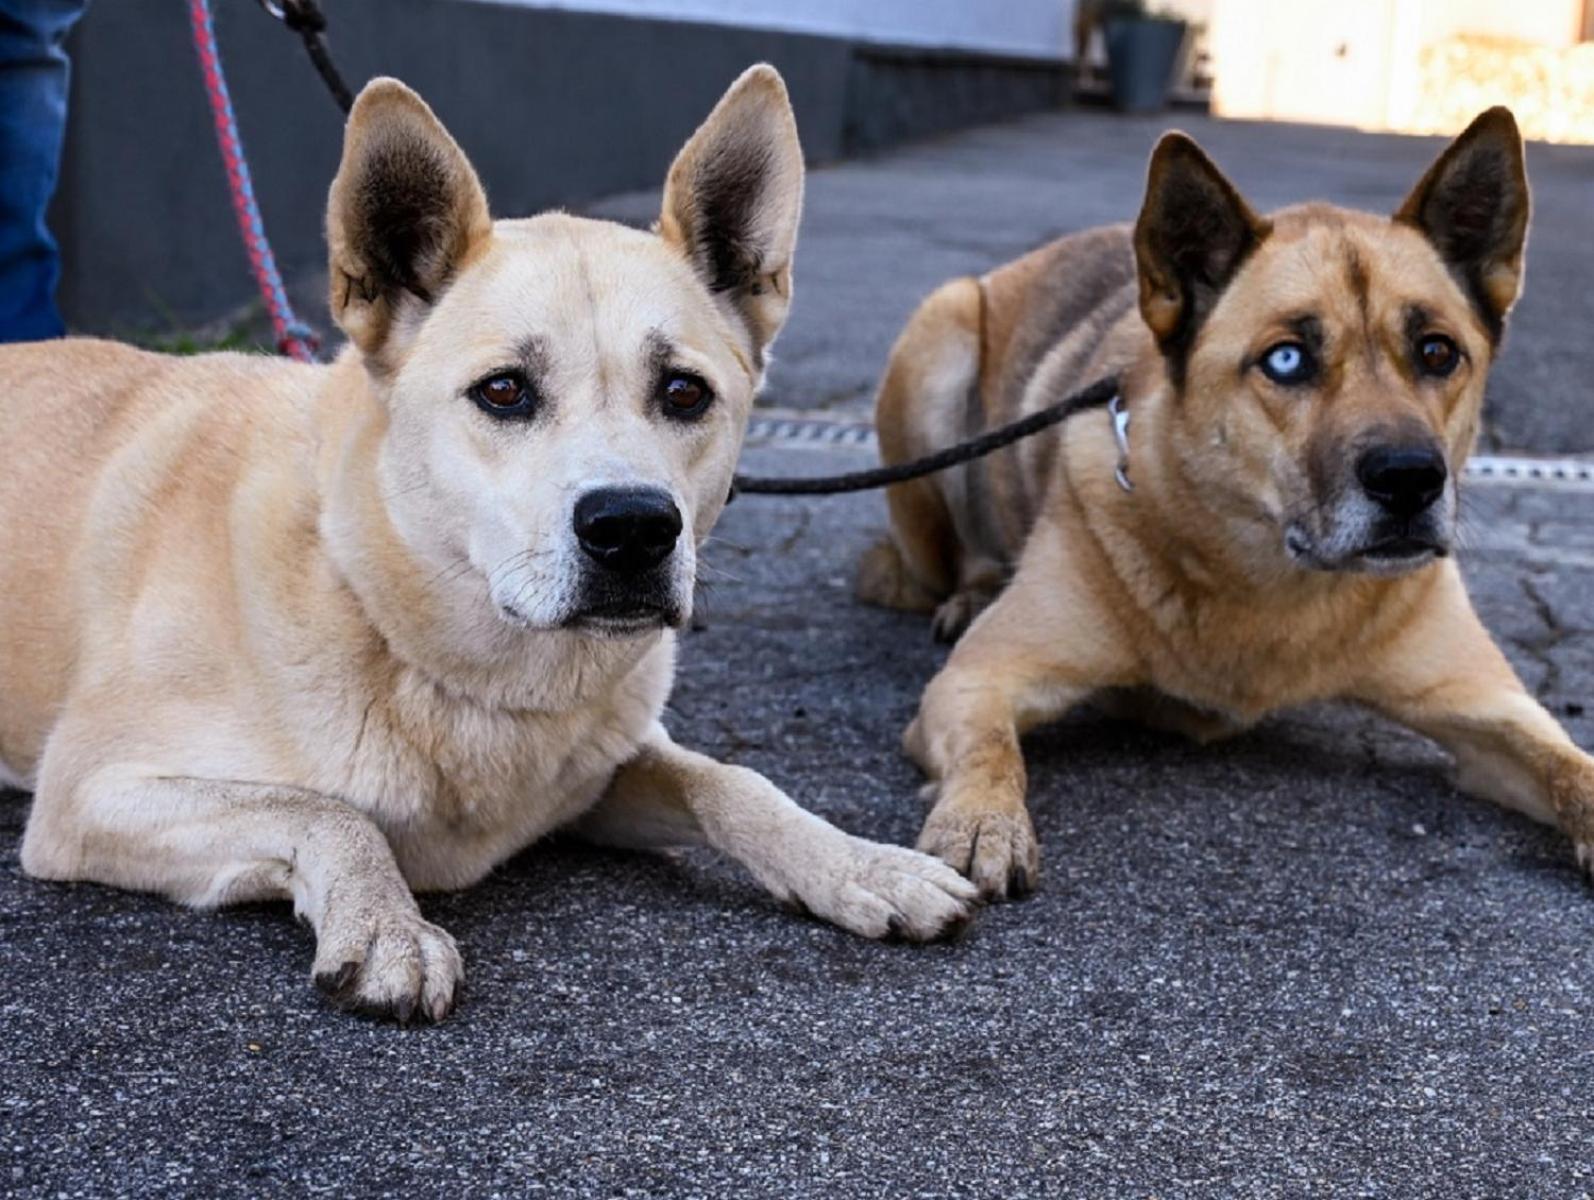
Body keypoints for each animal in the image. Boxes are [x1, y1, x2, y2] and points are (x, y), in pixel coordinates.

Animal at [0, 67, 975, 1019]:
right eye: (504, 391)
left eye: (685, 393)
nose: (634, 528)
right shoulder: (89, 792)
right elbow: (324, 810)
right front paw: (385, 924)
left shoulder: (604, 774)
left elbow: (733, 781)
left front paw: (859, 864)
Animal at [867, 109, 1594, 898]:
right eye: (1287, 360)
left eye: (1437, 352)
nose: (1410, 480)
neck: (1273, 589)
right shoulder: (975, 681)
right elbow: (993, 748)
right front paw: (980, 817)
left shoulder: (1493, 708)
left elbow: (1571, 767)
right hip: (940, 337)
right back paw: (970, 589)